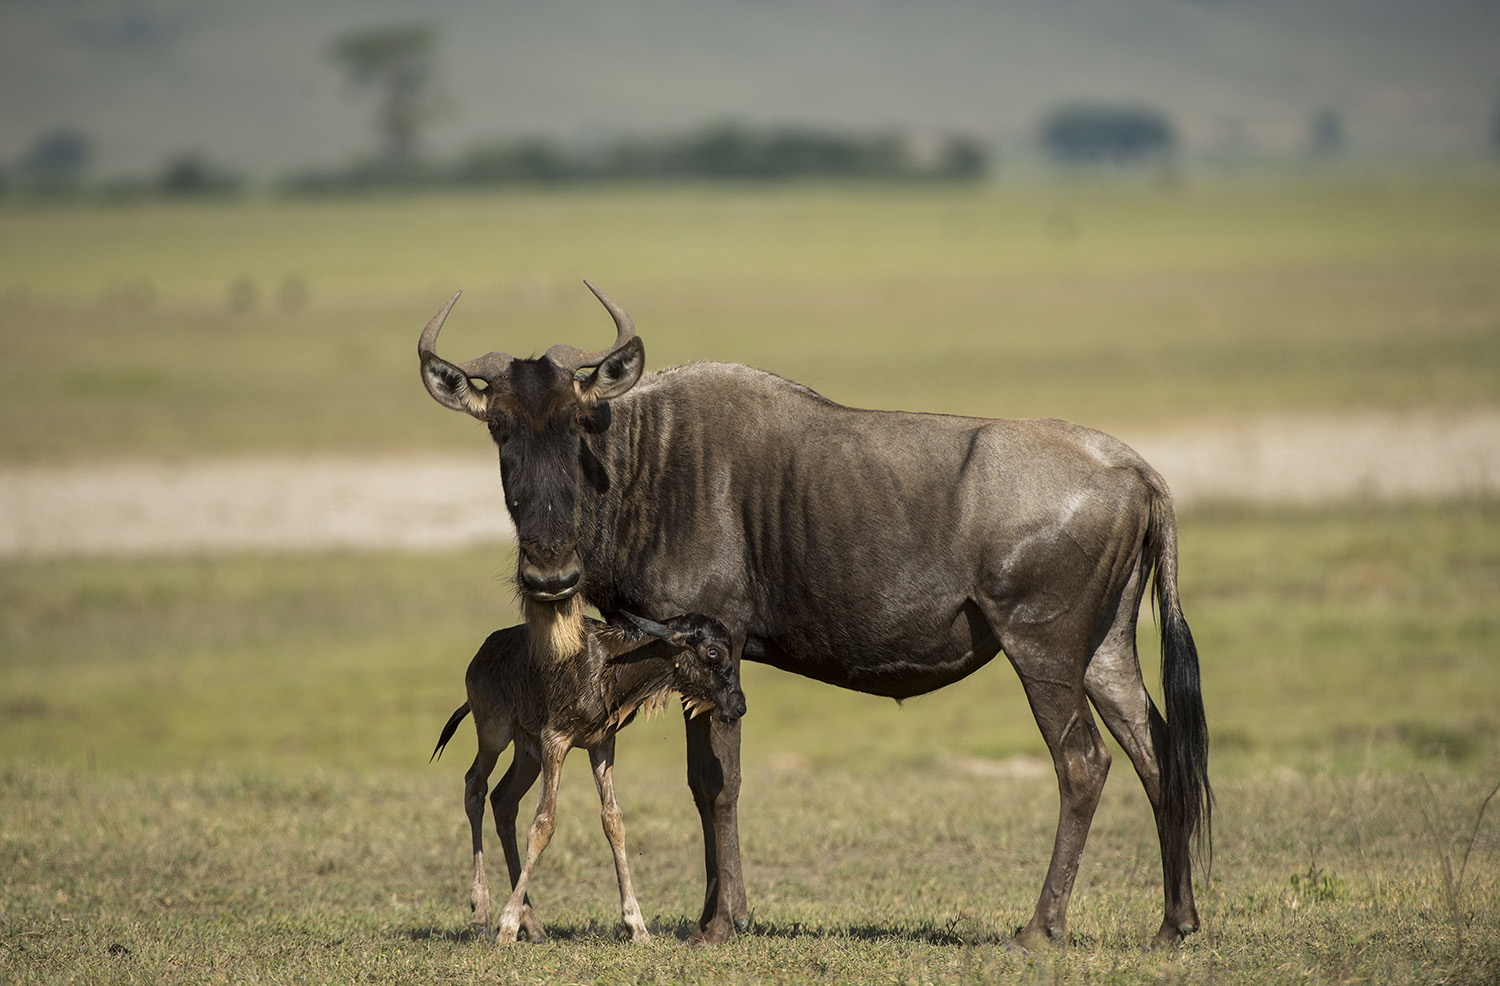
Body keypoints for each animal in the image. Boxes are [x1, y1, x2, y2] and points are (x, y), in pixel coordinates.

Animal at [429, 612, 744, 942]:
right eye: (713, 652)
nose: (739, 704)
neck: (613, 666)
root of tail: (478, 656)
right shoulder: (555, 738)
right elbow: (543, 824)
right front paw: (507, 925)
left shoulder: (601, 743)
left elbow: (613, 820)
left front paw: (636, 925)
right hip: (494, 732)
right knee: (474, 785)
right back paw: (482, 912)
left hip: (528, 751)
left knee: (503, 799)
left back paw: (532, 923)